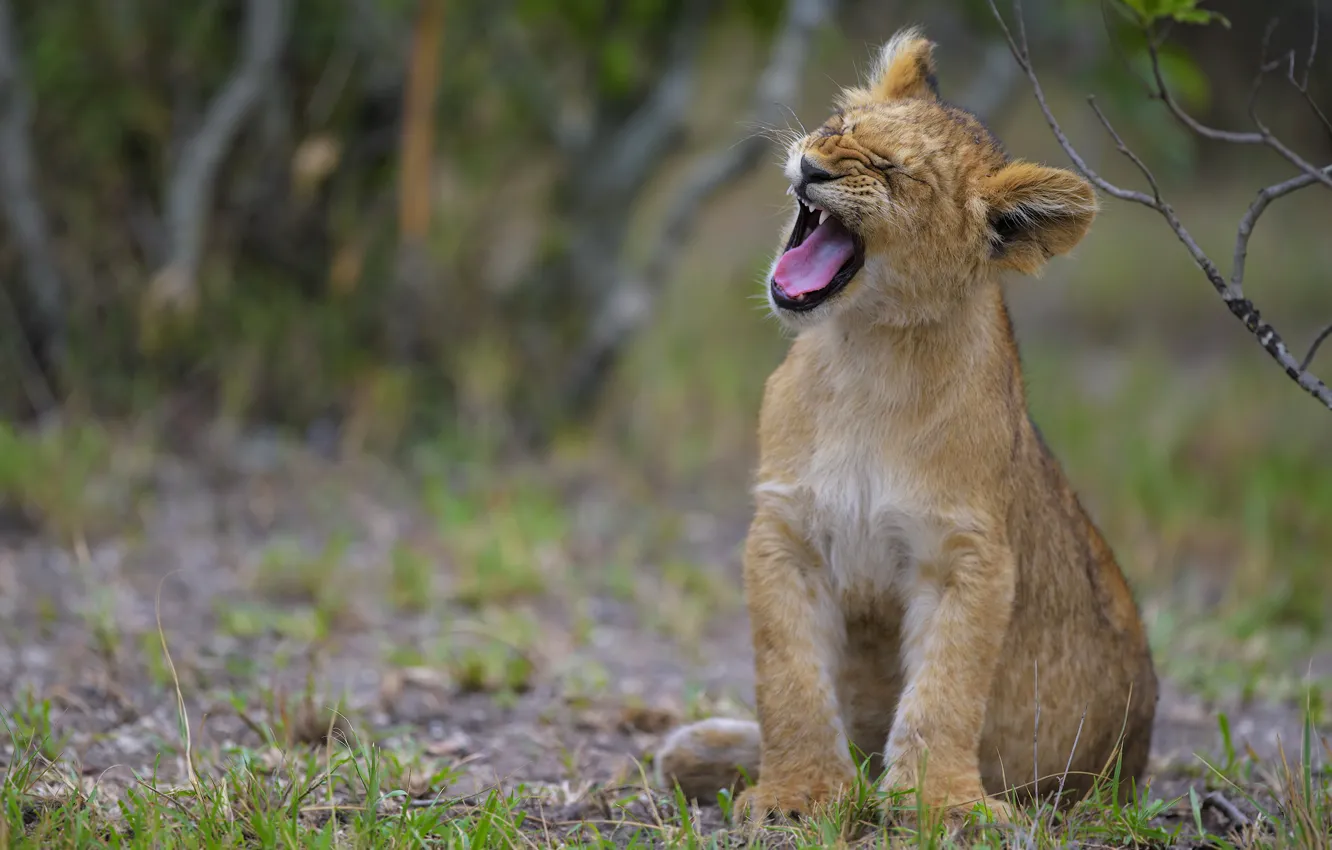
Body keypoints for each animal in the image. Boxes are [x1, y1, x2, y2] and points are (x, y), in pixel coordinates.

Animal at [652, 28, 1158, 828]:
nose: (813, 164)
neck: (869, 353)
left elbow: (946, 691)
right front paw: (798, 794)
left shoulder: (969, 556)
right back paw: (700, 750)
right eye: (840, 124)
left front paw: (940, 804)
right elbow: (789, 681)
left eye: (897, 173)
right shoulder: (785, 534)